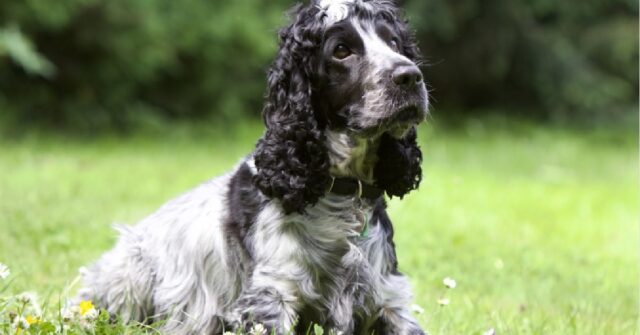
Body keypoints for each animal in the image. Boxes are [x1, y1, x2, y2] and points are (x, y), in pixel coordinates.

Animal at [80, 1, 430, 334]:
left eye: (394, 42)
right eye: (341, 51)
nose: (410, 75)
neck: (340, 194)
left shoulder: (388, 297)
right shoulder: (270, 296)